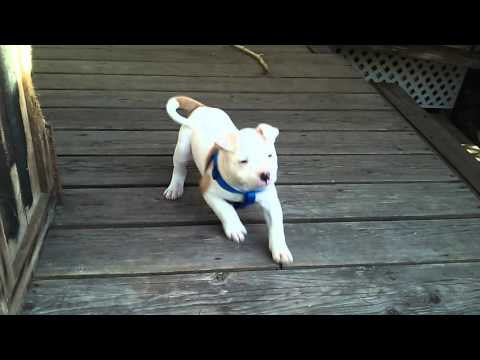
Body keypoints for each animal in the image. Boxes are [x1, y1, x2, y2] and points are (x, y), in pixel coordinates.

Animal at [164, 95, 292, 264]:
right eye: (243, 161)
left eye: (269, 155)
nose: (266, 175)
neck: (245, 188)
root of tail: (202, 108)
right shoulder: (209, 191)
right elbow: (225, 209)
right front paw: (235, 228)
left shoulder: (270, 201)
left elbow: (277, 225)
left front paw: (281, 250)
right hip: (183, 148)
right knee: (179, 168)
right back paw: (174, 188)